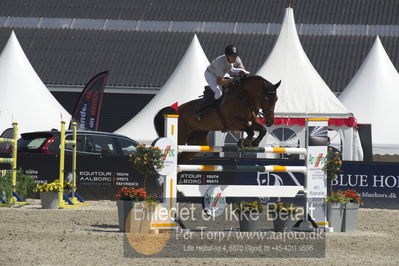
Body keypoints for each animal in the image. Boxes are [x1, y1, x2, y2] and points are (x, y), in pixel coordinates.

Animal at [154, 74, 282, 162]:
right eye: (265, 99)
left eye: (276, 99)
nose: (270, 121)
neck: (244, 98)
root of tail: (175, 111)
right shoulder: (234, 124)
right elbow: (249, 130)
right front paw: (246, 142)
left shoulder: (252, 121)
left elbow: (262, 130)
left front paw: (253, 143)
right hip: (180, 136)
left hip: (197, 142)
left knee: (181, 160)